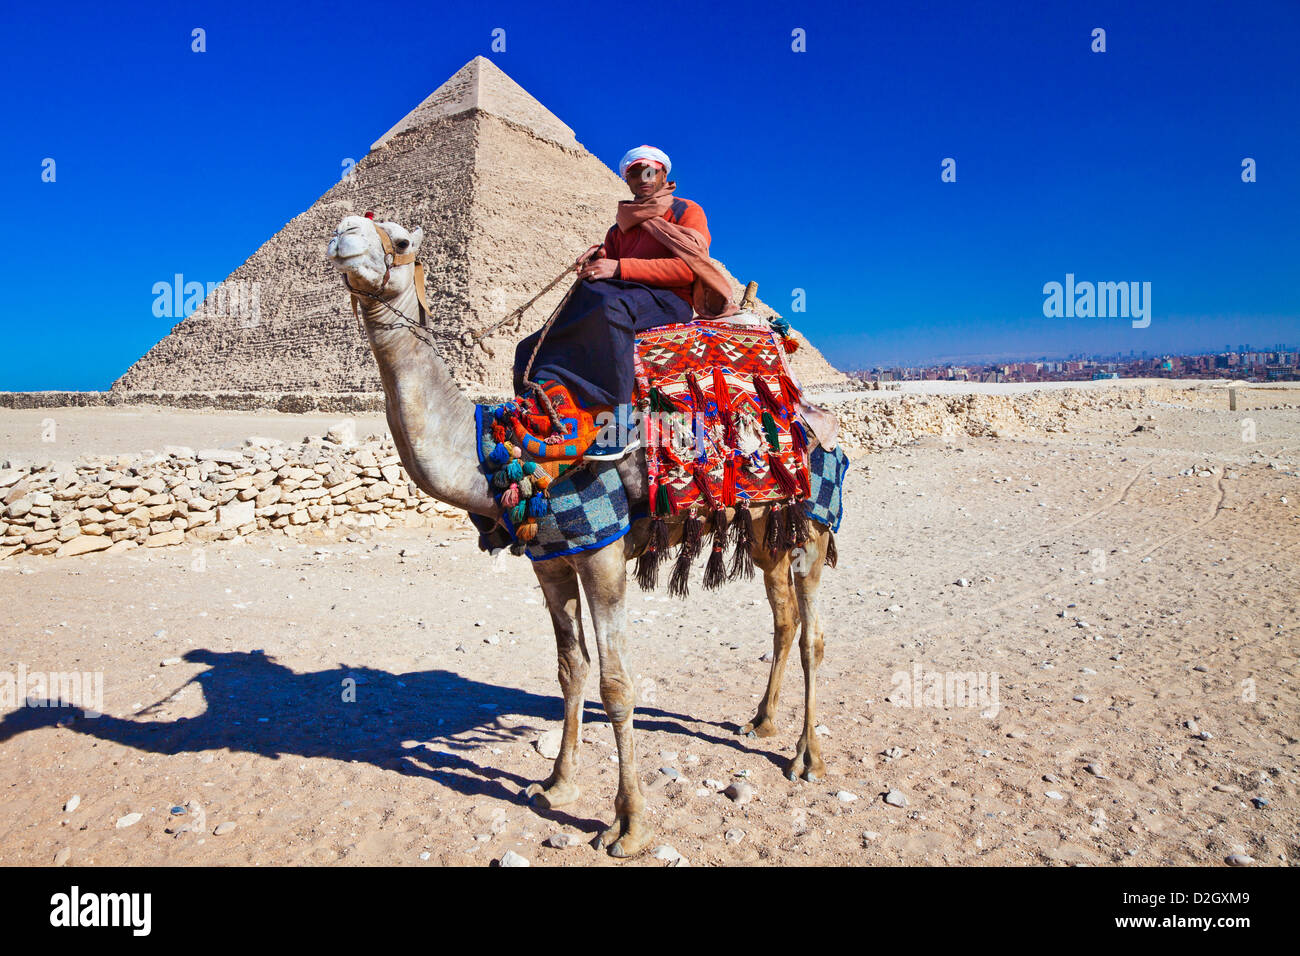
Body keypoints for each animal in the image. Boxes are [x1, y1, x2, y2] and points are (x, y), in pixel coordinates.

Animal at [327, 214, 835, 857]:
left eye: (399, 240)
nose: (343, 234)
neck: (508, 452)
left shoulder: (602, 553)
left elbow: (617, 685)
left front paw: (629, 826)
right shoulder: (550, 561)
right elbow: (571, 670)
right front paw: (557, 785)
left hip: (813, 519)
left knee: (813, 633)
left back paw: (806, 757)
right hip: (768, 523)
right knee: (783, 614)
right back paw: (761, 721)